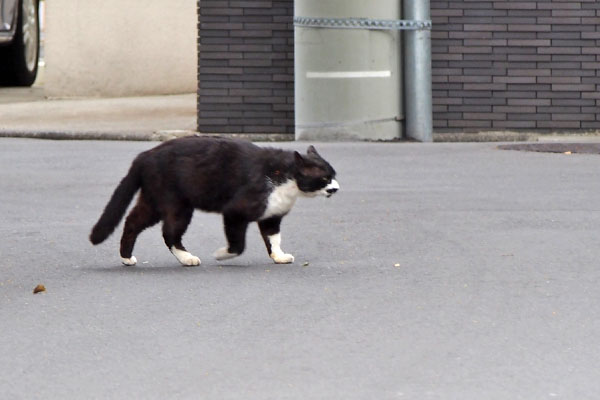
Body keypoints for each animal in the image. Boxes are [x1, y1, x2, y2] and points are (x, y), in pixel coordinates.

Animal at [89, 137, 338, 266]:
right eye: (324, 178)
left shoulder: (271, 215)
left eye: (334, 175)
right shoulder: (235, 211)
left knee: (133, 221)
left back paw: (126, 257)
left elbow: (273, 238)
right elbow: (238, 245)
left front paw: (279, 256)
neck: (285, 179)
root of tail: (144, 156)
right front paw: (221, 254)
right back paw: (188, 258)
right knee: (169, 232)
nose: (336, 187)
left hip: (153, 201)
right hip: (175, 204)